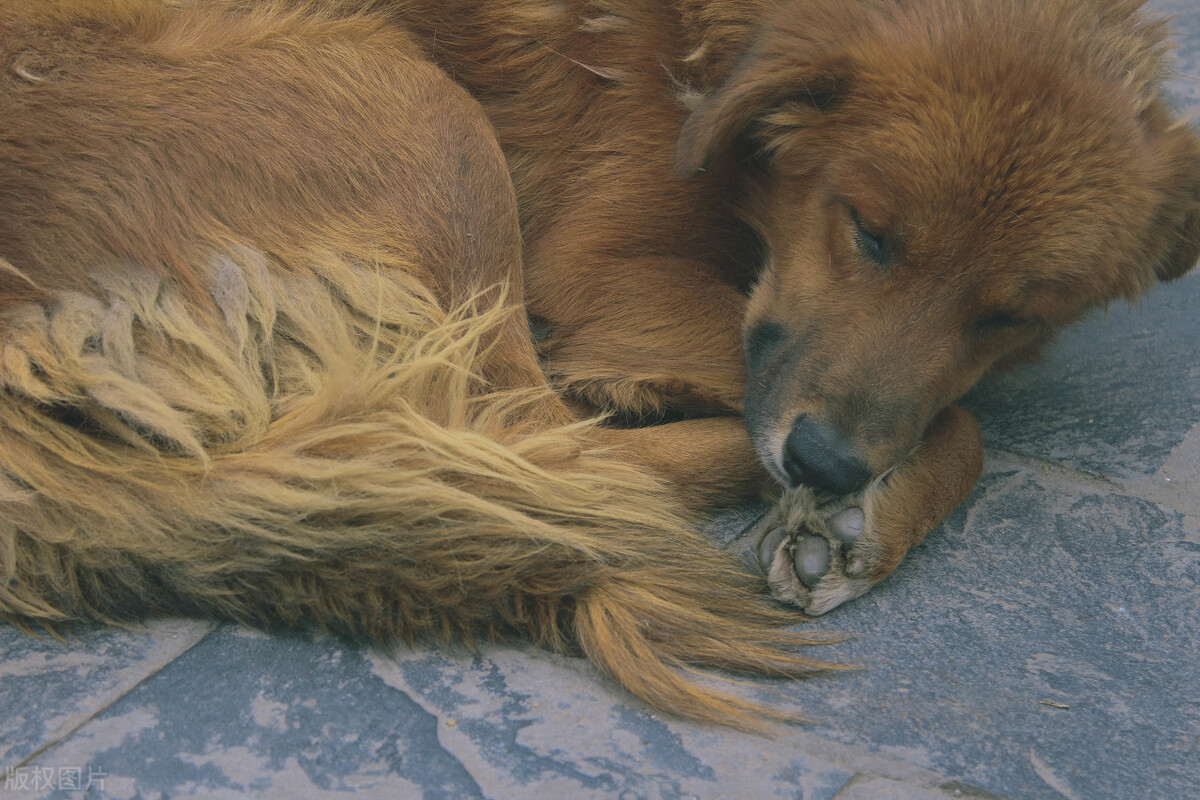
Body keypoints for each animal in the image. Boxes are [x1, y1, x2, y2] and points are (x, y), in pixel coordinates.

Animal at [0, 0, 1195, 724]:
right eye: (867, 232)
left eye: (1007, 315)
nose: (829, 467)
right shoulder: (605, 268)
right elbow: (966, 424)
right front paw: (862, 501)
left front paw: (867, 510)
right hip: (421, 116)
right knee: (515, 440)